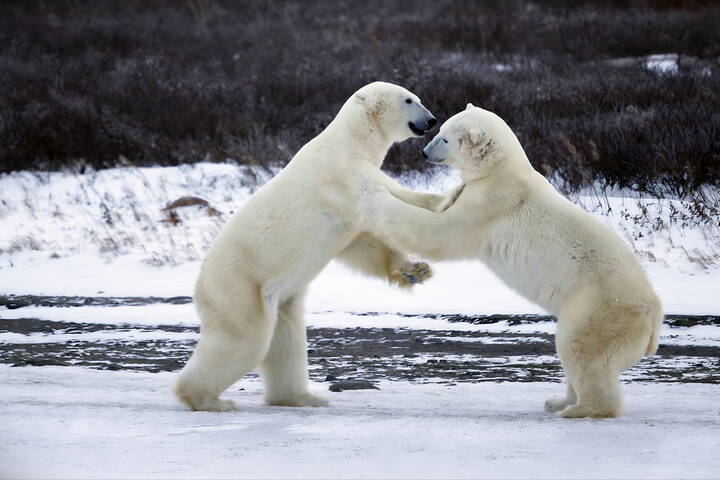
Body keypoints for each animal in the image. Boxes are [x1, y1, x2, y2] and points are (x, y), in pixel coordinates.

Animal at [174, 80, 444, 410]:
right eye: (409, 100)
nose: (431, 120)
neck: (350, 142)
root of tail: (200, 288)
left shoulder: (344, 214)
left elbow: (361, 245)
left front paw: (415, 270)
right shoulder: (344, 176)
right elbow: (384, 199)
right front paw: (439, 200)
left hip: (281, 299)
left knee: (286, 339)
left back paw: (301, 397)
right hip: (240, 286)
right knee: (245, 339)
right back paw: (207, 399)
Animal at [366, 104, 664, 416]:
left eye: (445, 138)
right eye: (440, 130)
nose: (424, 152)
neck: (502, 171)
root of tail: (654, 318)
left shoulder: (489, 206)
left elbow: (437, 234)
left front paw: (376, 197)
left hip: (600, 308)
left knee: (581, 349)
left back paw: (580, 408)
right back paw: (558, 401)